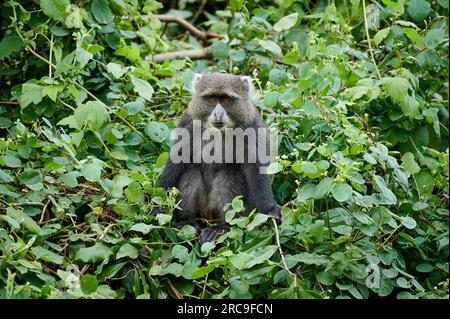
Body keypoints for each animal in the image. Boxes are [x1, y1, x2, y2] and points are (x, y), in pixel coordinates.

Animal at [156, 74, 280, 244]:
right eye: (212, 100)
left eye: (227, 100)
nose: (218, 114)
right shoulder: (189, 122)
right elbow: (175, 162)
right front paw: (156, 206)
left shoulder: (250, 128)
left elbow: (256, 169)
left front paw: (269, 209)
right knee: (191, 171)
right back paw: (186, 222)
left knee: (229, 174)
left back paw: (221, 228)